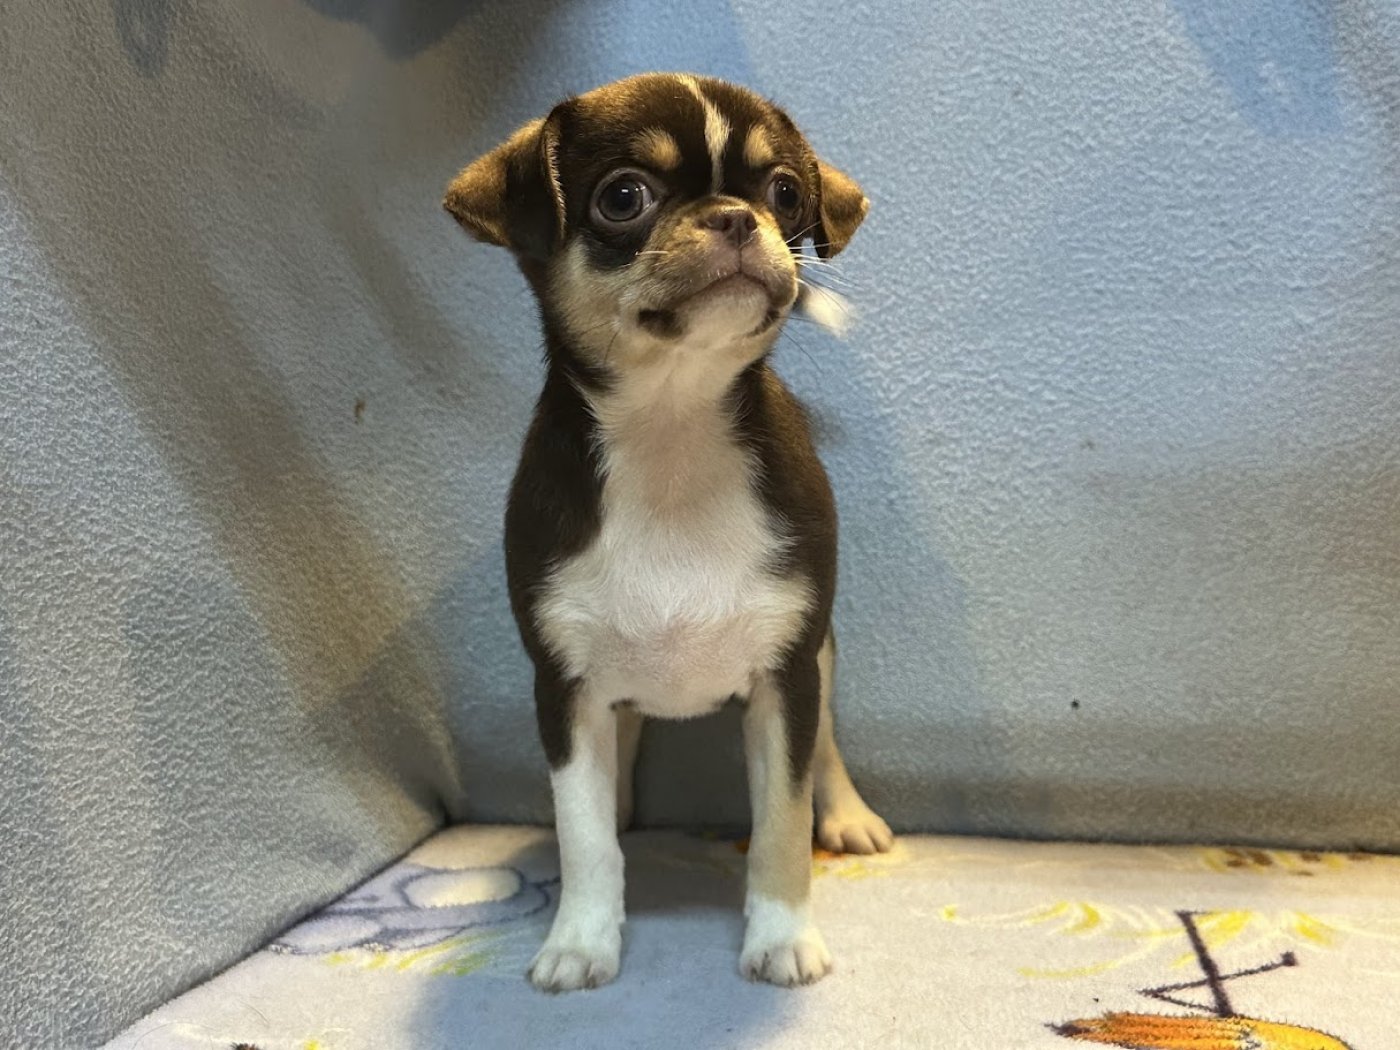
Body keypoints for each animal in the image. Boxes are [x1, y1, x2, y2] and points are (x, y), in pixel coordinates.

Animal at [444, 73, 892, 992]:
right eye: (624, 198)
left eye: (784, 193)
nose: (735, 216)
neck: (672, 430)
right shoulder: (565, 688)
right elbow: (583, 834)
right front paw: (582, 940)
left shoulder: (786, 676)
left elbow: (781, 819)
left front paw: (782, 935)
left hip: (822, 656)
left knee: (826, 749)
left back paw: (849, 815)